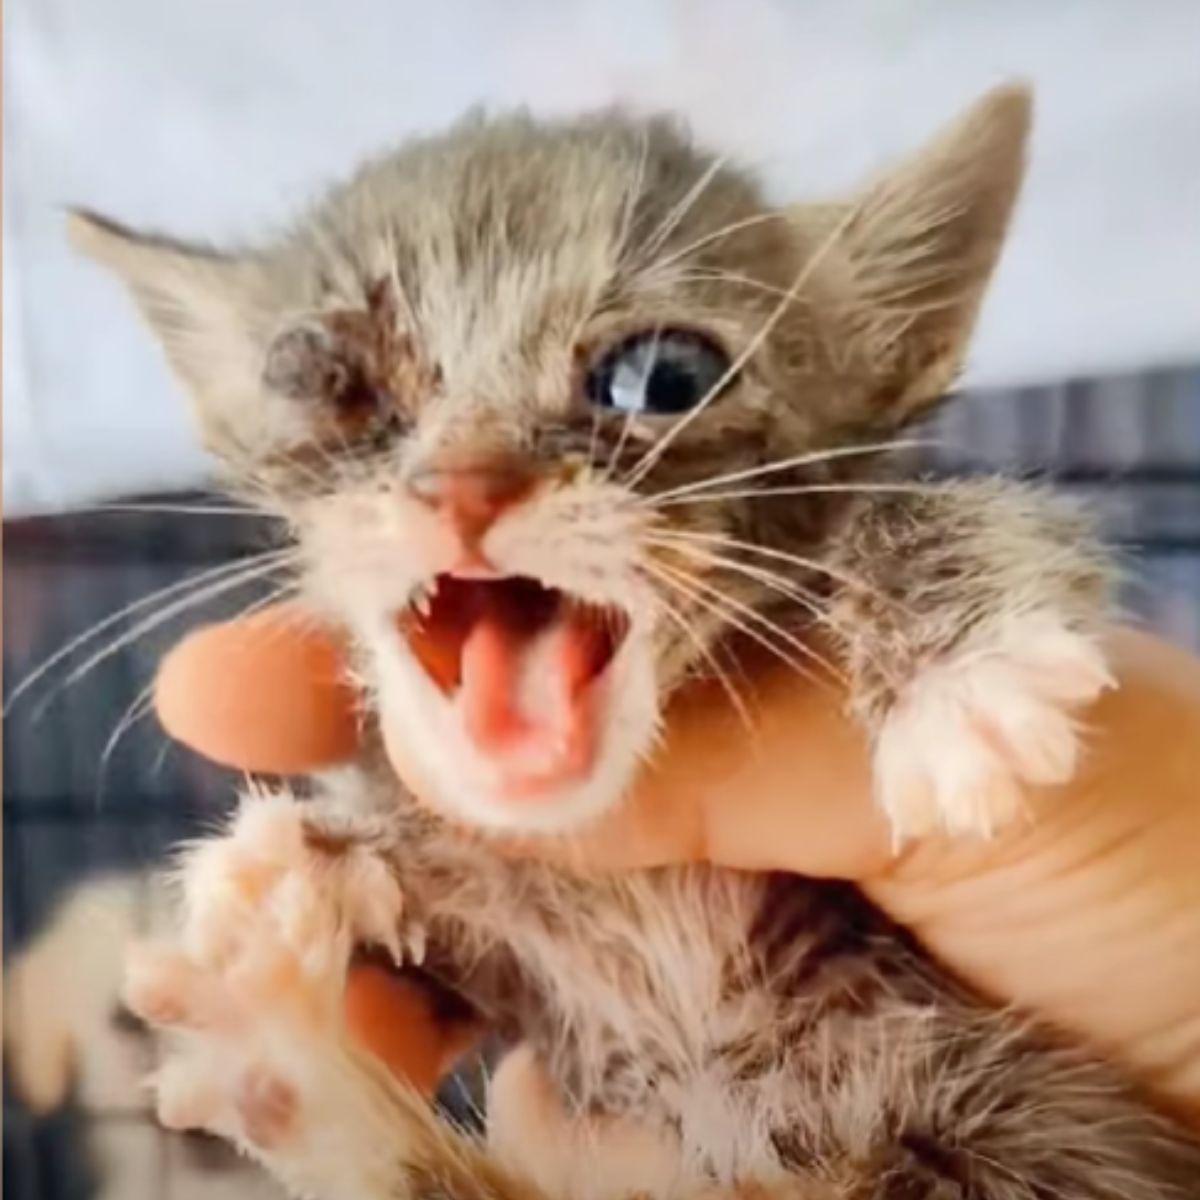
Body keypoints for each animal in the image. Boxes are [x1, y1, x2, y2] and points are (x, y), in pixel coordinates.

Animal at [70, 87, 1200, 1200]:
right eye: (328, 381)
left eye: (662, 378)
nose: (466, 486)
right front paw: (336, 849)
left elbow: (957, 514)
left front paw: (959, 679)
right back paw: (282, 1068)